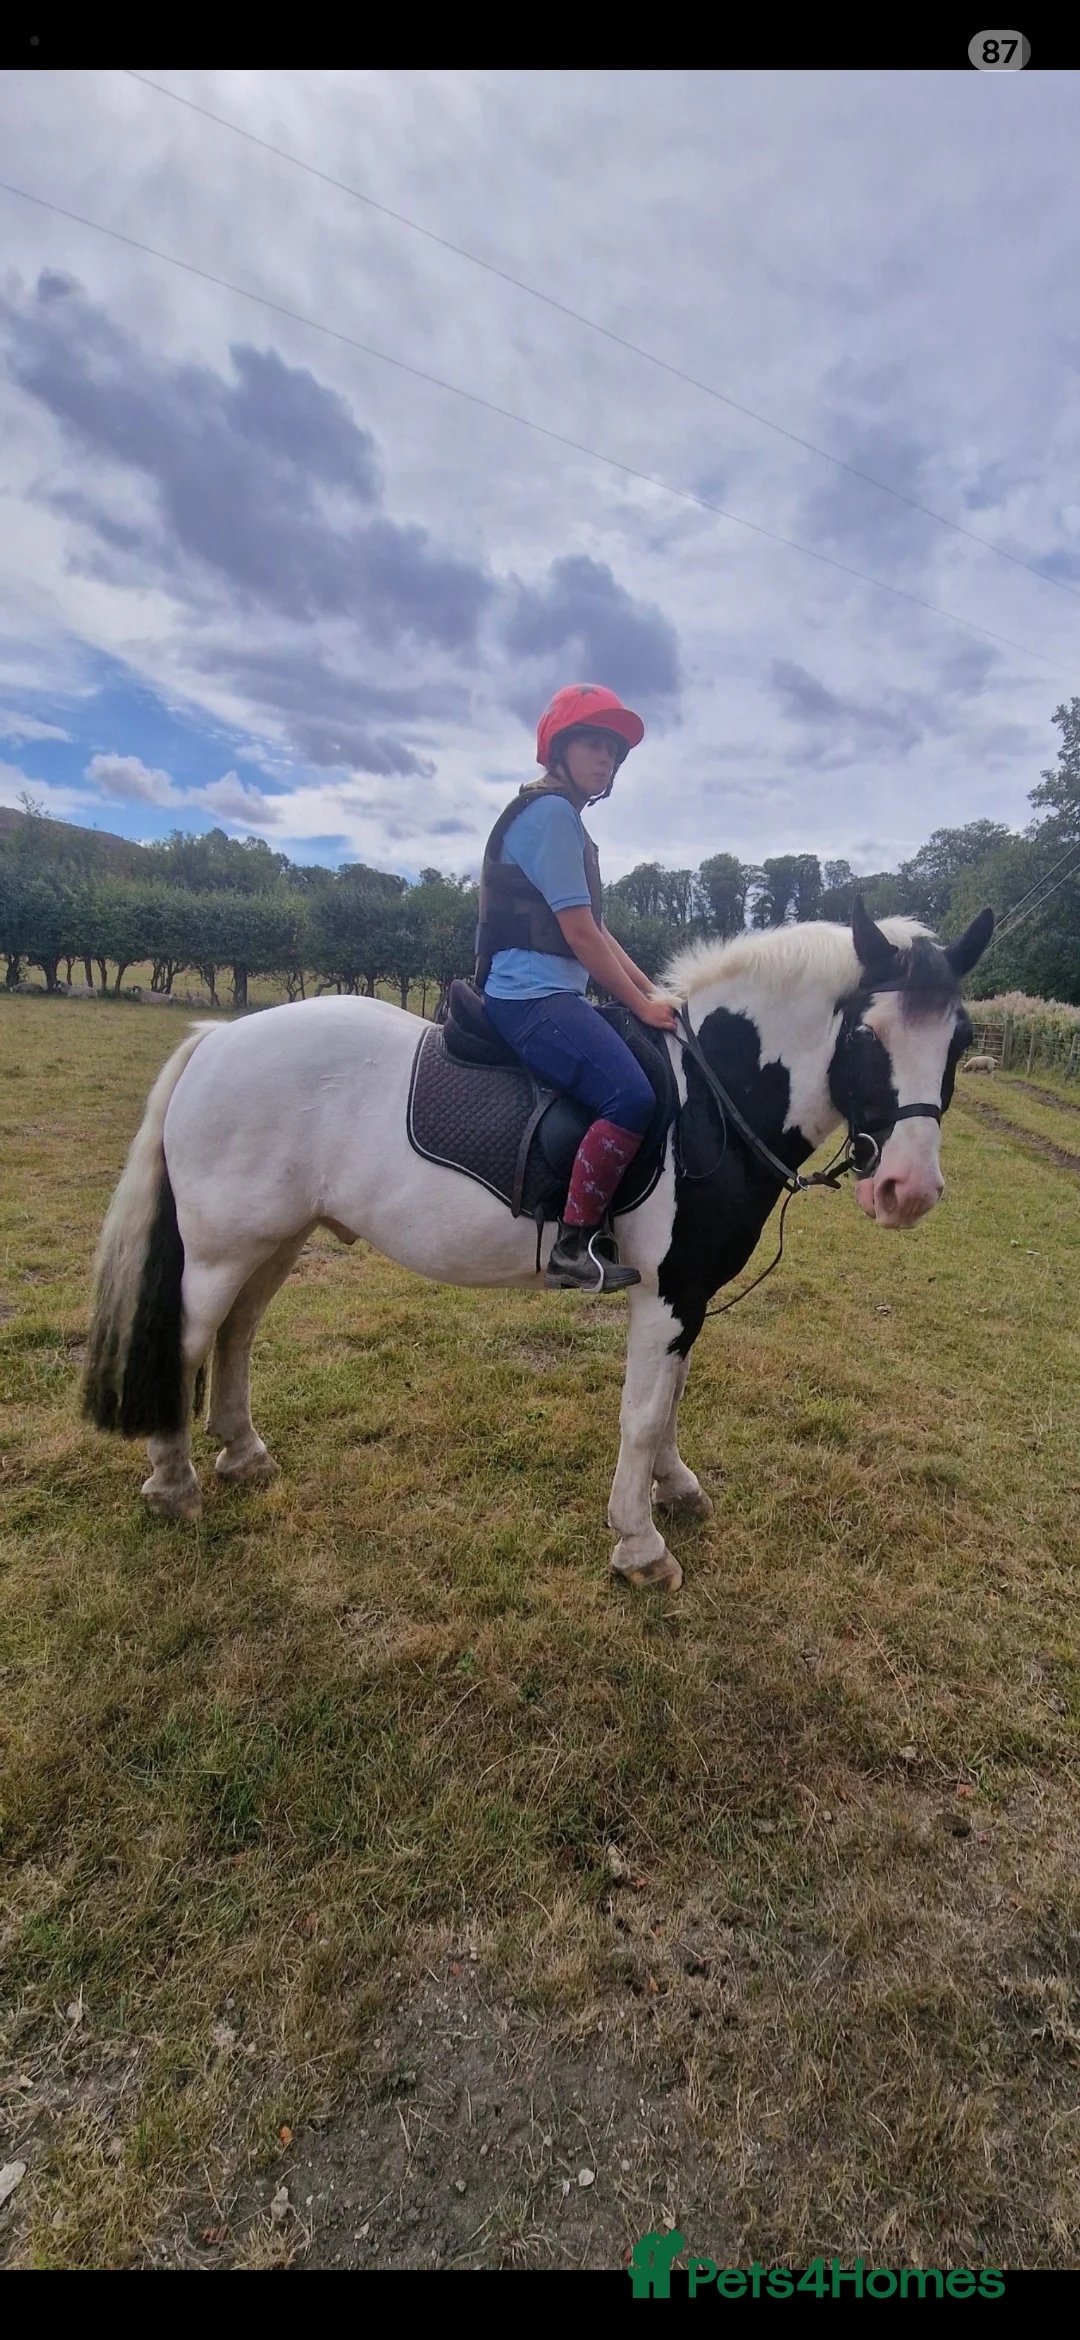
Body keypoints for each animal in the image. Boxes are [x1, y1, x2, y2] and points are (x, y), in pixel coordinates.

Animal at [82, 898, 993, 1591]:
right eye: (867, 1035)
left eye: (961, 1041)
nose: (907, 1189)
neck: (707, 1099)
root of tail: (220, 1038)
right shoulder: (665, 1292)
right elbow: (640, 1414)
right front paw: (639, 1544)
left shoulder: (688, 1296)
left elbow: (671, 1402)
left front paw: (676, 1490)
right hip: (222, 1250)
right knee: (188, 1343)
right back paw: (174, 1483)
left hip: (277, 1240)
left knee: (236, 1336)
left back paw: (243, 1453)